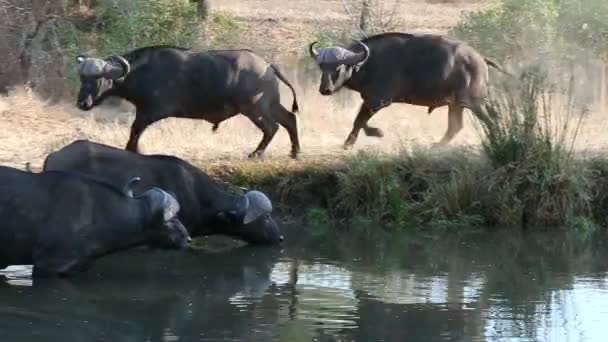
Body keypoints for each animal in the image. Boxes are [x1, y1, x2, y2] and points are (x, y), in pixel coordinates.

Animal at [74, 44, 302, 159]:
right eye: (82, 78)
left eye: (100, 79)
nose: (83, 103)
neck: (143, 72)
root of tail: (268, 65)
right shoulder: (144, 111)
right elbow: (135, 131)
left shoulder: (150, 112)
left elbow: (135, 131)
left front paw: (133, 151)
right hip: (270, 104)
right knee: (289, 119)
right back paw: (294, 152)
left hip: (254, 108)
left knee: (271, 127)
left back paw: (255, 153)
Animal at [308, 31, 512, 148]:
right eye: (322, 67)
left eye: (339, 67)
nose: (325, 90)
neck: (368, 63)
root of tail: (479, 59)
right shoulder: (370, 99)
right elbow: (359, 120)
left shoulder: (378, 100)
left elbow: (359, 120)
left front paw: (356, 140)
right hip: (456, 104)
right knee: (455, 126)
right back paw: (437, 146)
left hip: (472, 102)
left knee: (491, 118)